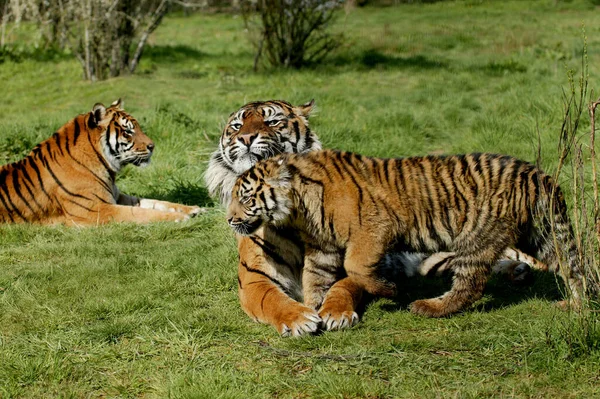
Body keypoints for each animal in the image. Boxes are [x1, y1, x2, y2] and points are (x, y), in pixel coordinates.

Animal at [0, 99, 202, 227]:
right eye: (128, 131)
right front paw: (180, 217)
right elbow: (142, 213)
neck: (107, 168)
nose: (152, 146)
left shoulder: (118, 197)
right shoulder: (94, 209)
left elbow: (156, 202)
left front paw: (193, 209)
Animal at [206, 100, 544, 338]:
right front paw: (299, 318)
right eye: (237, 125)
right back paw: (516, 272)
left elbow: (345, 284)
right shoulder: (254, 278)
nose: (247, 137)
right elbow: (273, 300)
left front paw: (336, 312)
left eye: (272, 120)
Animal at [227, 150, 584, 332]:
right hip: (540, 233)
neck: (299, 210)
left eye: (245, 198)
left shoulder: (372, 230)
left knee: (471, 284)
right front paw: (313, 311)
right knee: (570, 265)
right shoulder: (320, 249)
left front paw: (384, 291)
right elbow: (313, 282)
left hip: (479, 235)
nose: (230, 219)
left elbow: (354, 270)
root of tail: (536, 175)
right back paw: (574, 303)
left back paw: (428, 307)